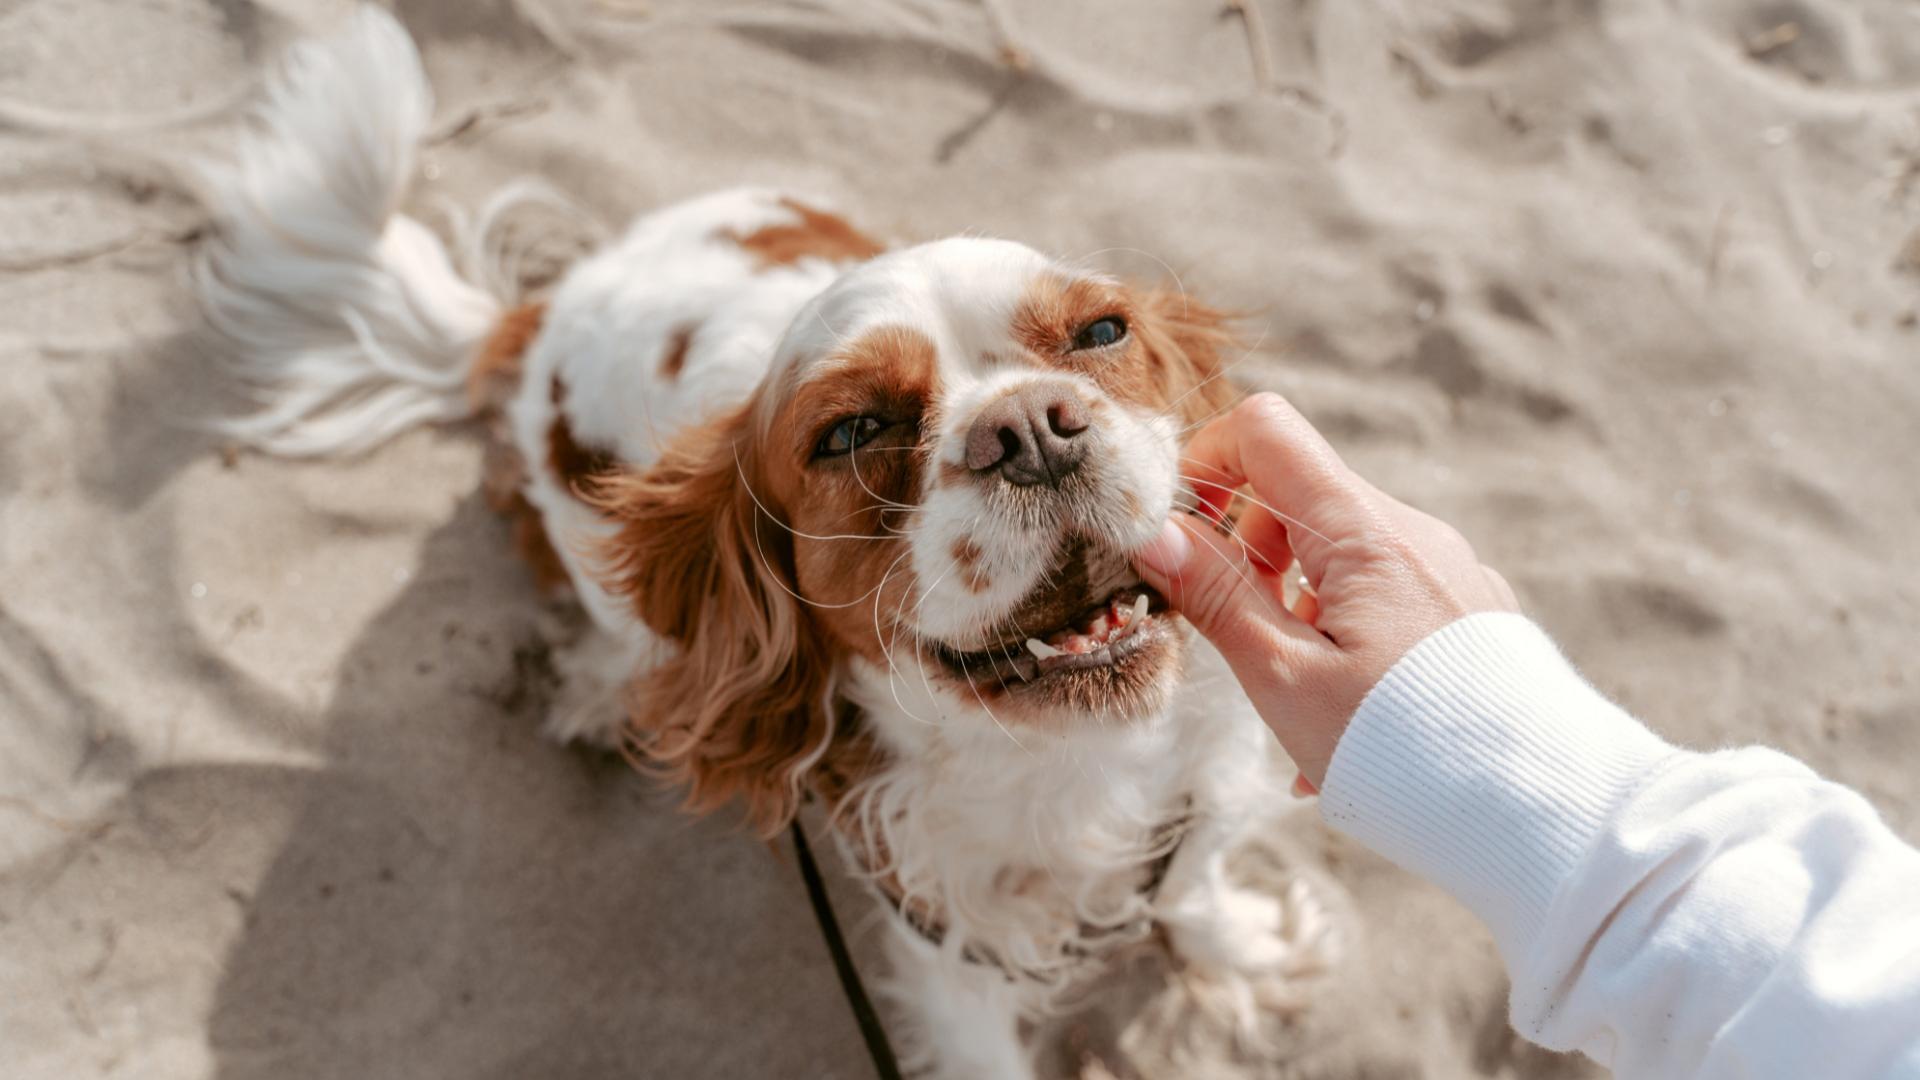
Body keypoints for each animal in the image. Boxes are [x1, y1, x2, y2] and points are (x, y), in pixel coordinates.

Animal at [191, 6, 1336, 1068]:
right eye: (853, 432)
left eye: (1103, 332)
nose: (1030, 427)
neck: (1076, 762)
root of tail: (541, 313)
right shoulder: (941, 934)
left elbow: (1189, 880)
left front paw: (1244, 949)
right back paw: (603, 689)